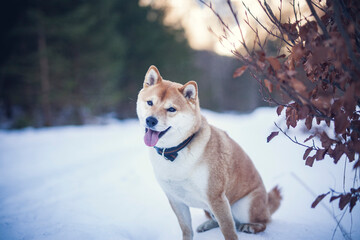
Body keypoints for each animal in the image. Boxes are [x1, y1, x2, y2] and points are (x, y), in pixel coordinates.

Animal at [137, 65, 282, 240]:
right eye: (150, 103)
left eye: (171, 109)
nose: (151, 120)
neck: (176, 151)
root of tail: (267, 203)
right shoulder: (176, 200)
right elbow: (187, 229)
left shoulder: (216, 197)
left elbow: (228, 230)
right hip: (211, 209)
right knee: (219, 220)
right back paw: (207, 225)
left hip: (244, 206)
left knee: (262, 222)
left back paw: (251, 227)